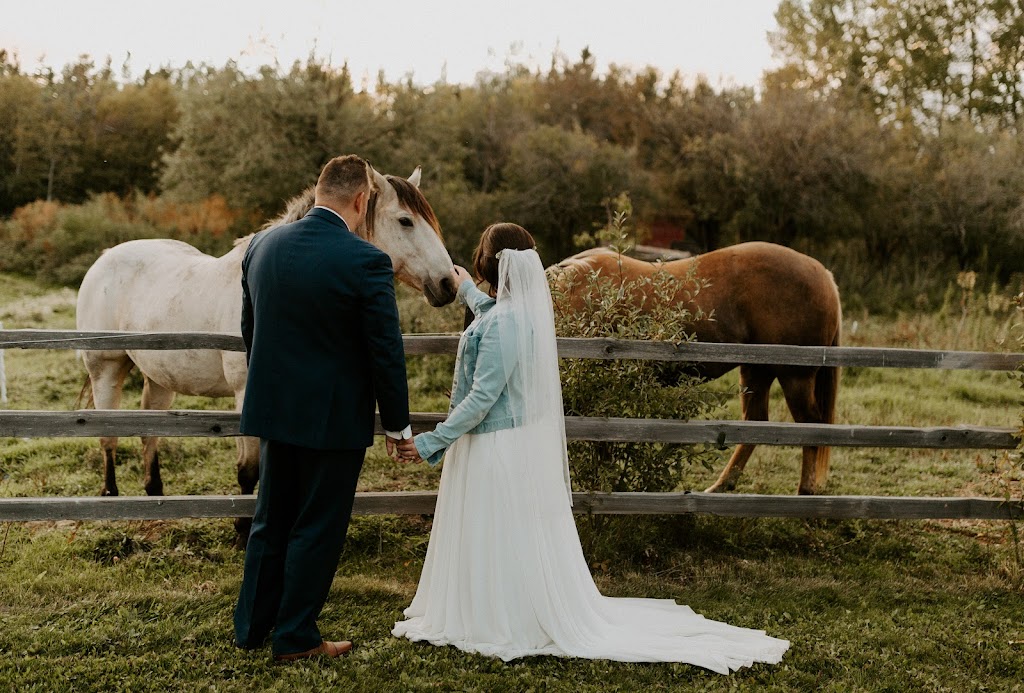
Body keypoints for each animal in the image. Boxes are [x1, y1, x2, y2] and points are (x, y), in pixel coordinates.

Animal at [75, 165, 452, 540]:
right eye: (406, 220)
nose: (448, 283)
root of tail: (105, 257)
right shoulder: (247, 395)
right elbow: (249, 469)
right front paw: (243, 529)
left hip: (159, 378)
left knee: (148, 431)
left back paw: (156, 496)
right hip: (106, 368)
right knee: (107, 435)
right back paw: (110, 498)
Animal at [552, 240, 839, 495]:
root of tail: (824, 275)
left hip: (794, 377)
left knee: (810, 426)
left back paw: (805, 490)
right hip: (756, 371)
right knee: (756, 423)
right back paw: (722, 485)